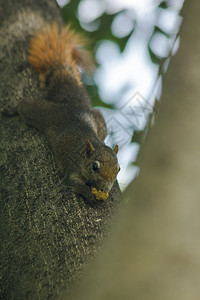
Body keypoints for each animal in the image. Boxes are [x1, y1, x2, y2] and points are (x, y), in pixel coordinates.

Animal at [15, 22, 120, 202]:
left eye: (118, 169)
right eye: (95, 166)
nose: (105, 188)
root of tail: (74, 104)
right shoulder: (72, 167)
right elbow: (73, 182)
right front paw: (88, 194)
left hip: (99, 121)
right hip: (42, 113)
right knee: (24, 106)